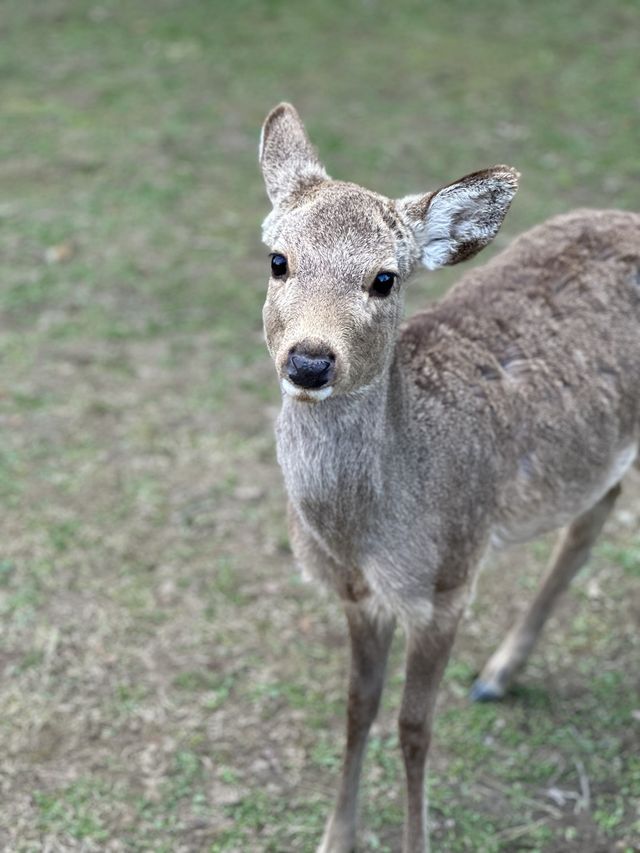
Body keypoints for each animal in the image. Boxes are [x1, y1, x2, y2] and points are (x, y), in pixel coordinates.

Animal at [258, 101, 640, 852]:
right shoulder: (357, 594)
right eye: (278, 259)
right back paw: (498, 674)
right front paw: (334, 836)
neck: (364, 533)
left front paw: (415, 838)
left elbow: (414, 727)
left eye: (385, 277)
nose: (310, 360)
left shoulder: (448, 580)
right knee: (594, 510)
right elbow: (357, 706)